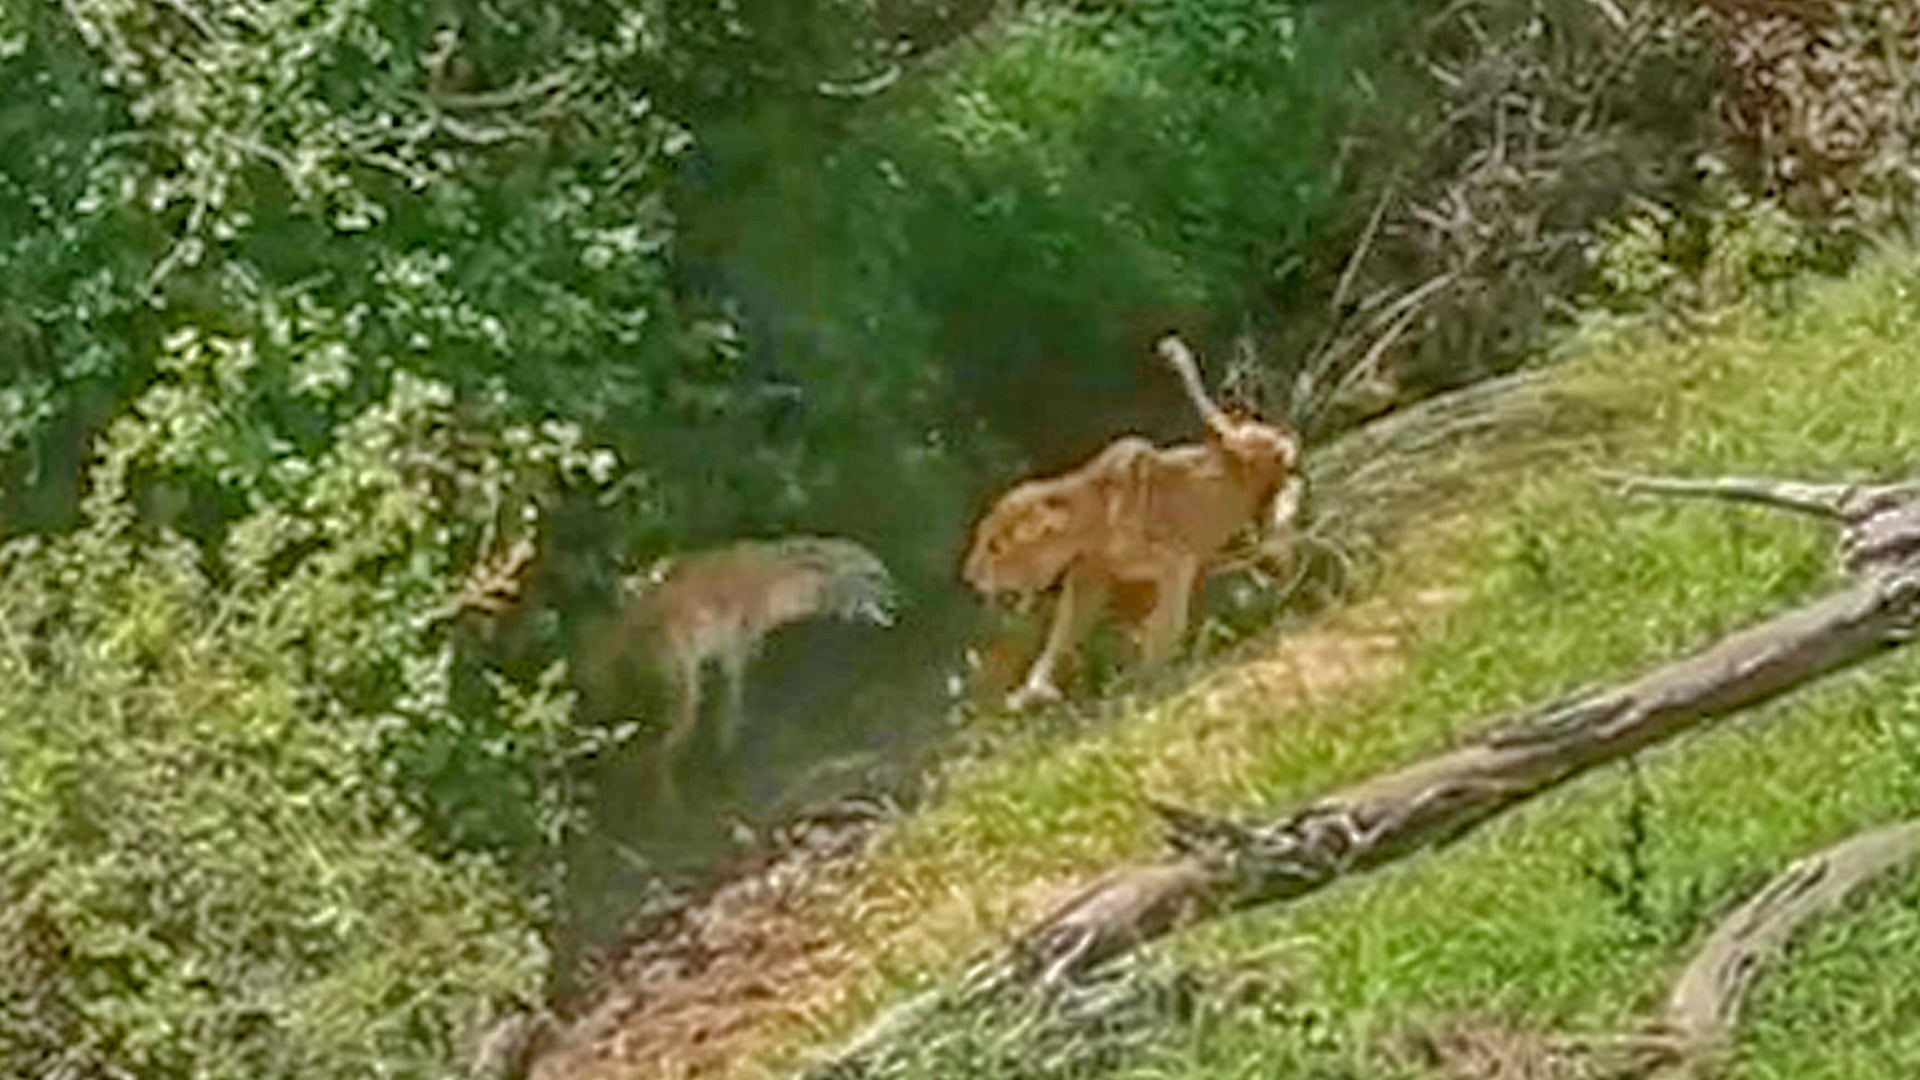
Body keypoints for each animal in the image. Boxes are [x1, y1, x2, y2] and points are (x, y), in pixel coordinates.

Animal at [961, 334, 1303, 711]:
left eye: (995, 547)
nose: (969, 576)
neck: (1087, 525)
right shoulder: (1086, 583)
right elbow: (1059, 637)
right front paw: (1032, 691)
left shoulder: (1173, 561)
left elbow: (1162, 624)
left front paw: (1151, 675)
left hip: (1249, 448)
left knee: (1282, 466)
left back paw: (1281, 539)